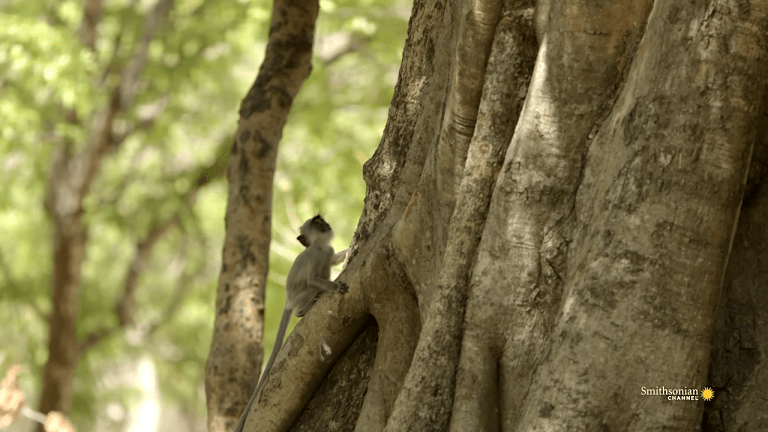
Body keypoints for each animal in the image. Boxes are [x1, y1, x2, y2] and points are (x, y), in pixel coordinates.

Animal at [232, 216, 350, 432]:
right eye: (317, 223)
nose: (325, 224)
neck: (320, 246)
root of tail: (288, 301)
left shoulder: (327, 251)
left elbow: (334, 259)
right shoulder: (315, 255)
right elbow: (313, 280)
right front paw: (334, 287)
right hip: (300, 296)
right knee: (310, 289)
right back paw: (303, 309)